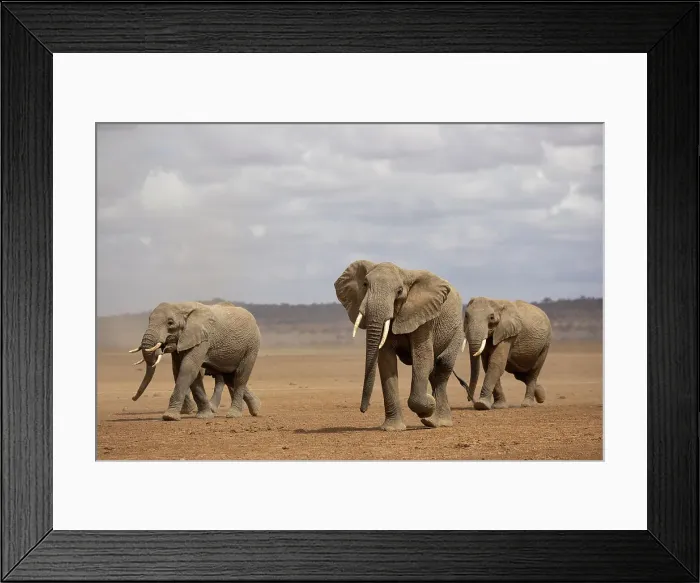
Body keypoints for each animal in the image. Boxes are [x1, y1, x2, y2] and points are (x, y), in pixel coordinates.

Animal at [128, 301, 262, 421]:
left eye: (170, 323)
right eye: (149, 320)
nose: (133, 398)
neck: (181, 306)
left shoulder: (203, 338)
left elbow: (188, 368)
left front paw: (169, 417)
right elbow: (182, 371)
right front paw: (204, 416)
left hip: (252, 346)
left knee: (240, 377)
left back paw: (234, 415)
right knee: (229, 377)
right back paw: (256, 410)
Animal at [334, 260, 466, 430]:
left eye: (399, 291)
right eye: (365, 284)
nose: (363, 409)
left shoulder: (424, 317)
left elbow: (422, 358)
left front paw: (429, 404)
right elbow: (386, 362)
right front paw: (392, 429)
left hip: (457, 330)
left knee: (442, 367)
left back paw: (436, 421)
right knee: (434, 372)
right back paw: (432, 420)